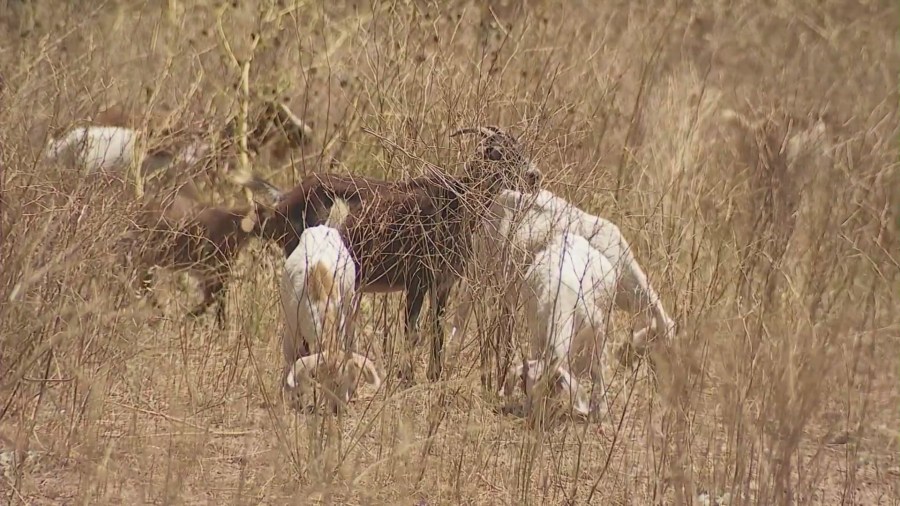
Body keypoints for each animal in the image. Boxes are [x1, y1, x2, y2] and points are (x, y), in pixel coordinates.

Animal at [256, 126, 544, 384]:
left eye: (520, 149)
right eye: (497, 153)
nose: (534, 175)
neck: (454, 204)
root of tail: (282, 201)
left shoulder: (443, 283)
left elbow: (436, 328)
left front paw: (434, 376)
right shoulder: (416, 280)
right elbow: (412, 331)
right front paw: (407, 378)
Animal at [282, 197, 380, 412]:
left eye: (349, 380)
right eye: (327, 381)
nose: (338, 408)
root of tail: (324, 227)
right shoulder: (291, 328)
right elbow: (292, 359)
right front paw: (293, 397)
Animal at [506, 231, 620, 418]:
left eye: (552, 390)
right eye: (525, 388)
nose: (534, 419)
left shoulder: (597, 328)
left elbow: (599, 366)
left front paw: (601, 411)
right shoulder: (536, 332)